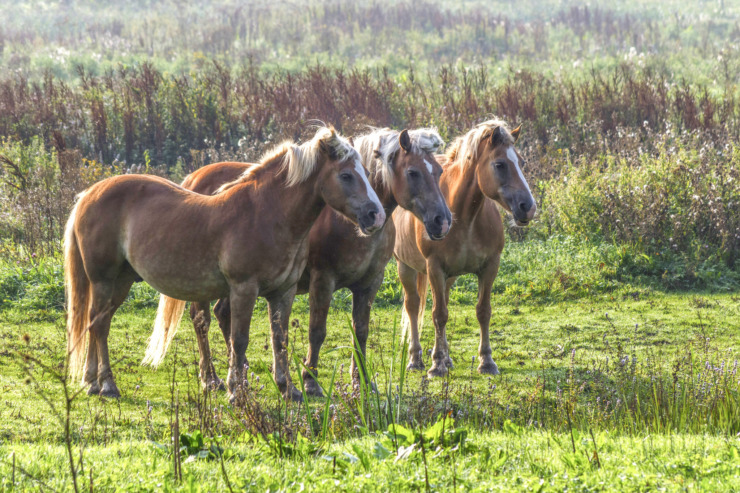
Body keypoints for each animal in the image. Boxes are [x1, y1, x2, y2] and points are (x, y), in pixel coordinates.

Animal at [66, 126, 384, 400]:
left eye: (367, 173)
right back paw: (107, 384)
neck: (267, 214)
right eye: (346, 175)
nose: (376, 215)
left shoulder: (284, 292)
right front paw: (236, 390)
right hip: (103, 280)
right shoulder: (244, 289)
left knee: (98, 322)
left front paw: (288, 388)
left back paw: (91, 381)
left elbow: (279, 338)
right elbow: (239, 338)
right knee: (99, 326)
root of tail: (88, 195)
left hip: (121, 282)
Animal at [142, 128, 448, 396]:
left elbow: (360, 332)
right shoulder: (323, 280)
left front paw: (362, 382)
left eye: (439, 171)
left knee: (223, 315)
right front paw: (310, 382)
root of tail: (192, 178)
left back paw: (241, 373)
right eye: (413, 172)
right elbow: (317, 331)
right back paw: (211, 379)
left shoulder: (370, 283)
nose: (442, 220)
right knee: (201, 320)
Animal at [394, 119, 536, 376]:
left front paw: (486, 361)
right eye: (500, 164)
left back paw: (447, 358)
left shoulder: (490, 266)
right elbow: (438, 314)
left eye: (521, 162)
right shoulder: (434, 268)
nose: (528, 207)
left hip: (447, 278)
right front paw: (436, 364)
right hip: (406, 267)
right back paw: (416, 359)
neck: (465, 218)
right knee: (413, 306)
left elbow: (483, 311)